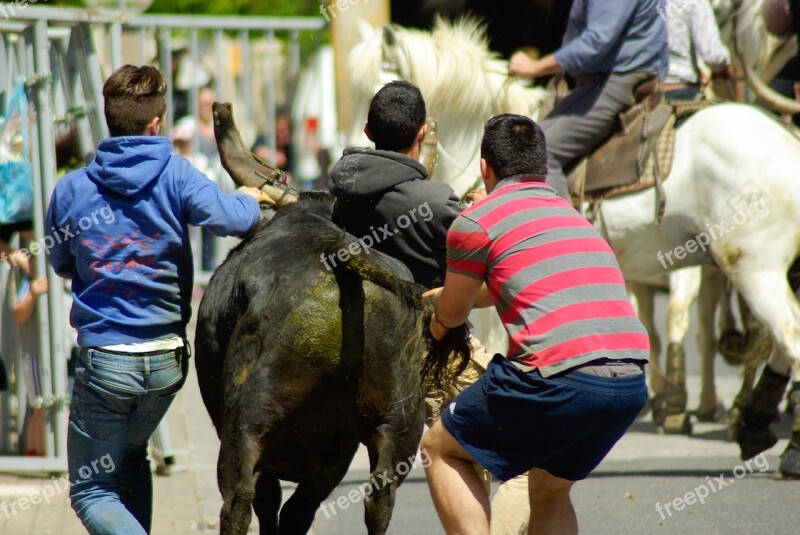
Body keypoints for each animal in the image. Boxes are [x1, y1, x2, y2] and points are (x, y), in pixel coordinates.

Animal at [352, 16, 800, 476]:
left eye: (371, 91)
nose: (357, 152)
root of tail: (786, 141)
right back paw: (752, 424)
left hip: (752, 267)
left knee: (787, 337)